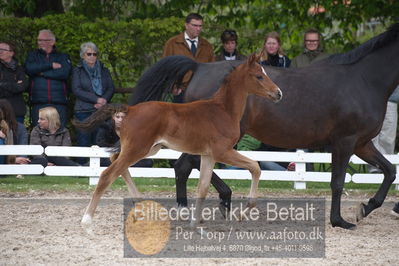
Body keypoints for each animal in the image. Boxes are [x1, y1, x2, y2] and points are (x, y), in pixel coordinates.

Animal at [75, 54, 282, 231]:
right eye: (259, 76)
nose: (278, 93)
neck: (223, 110)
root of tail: (129, 110)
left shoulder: (208, 155)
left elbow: (203, 187)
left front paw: (194, 222)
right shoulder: (223, 151)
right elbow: (255, 166)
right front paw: (243, 212)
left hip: (147, 149)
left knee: (116, 162)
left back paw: (140, 205)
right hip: (138, 149)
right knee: (107, 175)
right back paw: (87, 221)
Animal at [130, 22, 399, 230]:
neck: (363, 80)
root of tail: (200, 67)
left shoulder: (362, 143)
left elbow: (389, 171)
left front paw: (366, 208)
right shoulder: (344, 142)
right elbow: (338, 182)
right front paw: (339, 221)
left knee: (184, 165)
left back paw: (198, 207)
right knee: (188, 164)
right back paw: (215, 202)